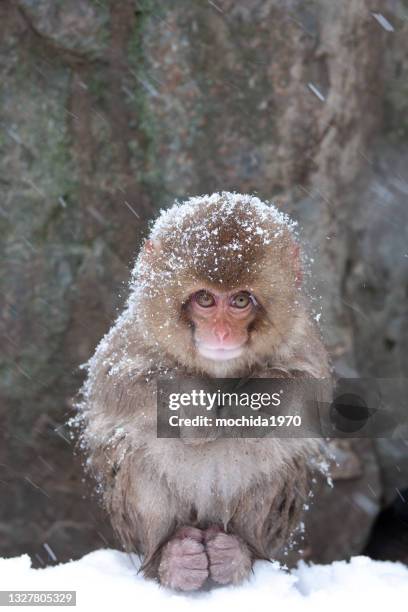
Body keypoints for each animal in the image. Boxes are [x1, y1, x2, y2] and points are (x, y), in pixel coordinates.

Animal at [76, 192, 330, 592]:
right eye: (205, 300)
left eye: (240, 301)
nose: (222, 334)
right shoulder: (134, 335)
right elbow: (114, 385)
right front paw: (193, 406)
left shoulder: (302, 336)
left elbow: (312, 390)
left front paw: (248, 408)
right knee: (135, 454)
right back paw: (171, 558)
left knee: (279, 460)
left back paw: (237, 553)